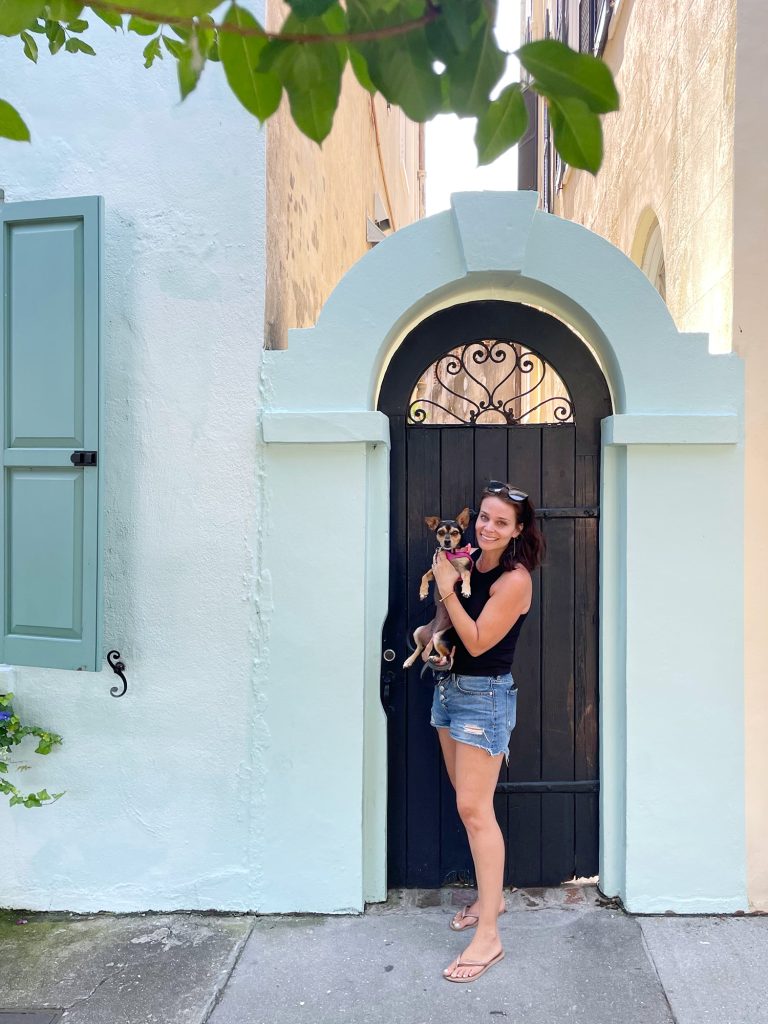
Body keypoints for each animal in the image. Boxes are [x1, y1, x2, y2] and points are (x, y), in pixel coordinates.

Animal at [403, 509, 475, 671]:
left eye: (455, 533)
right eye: (440, 532)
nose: (446, 541)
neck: (451, 553)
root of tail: (432, 633)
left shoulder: (463, 571)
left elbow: (467, 576)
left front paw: (466, 590)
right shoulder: (434, 572)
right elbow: (424, 576)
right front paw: (423, 592)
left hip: (439, 638)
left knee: (446, 656)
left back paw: (436, 658)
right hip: (418, 631)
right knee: (420, 648)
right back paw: (410, 660)